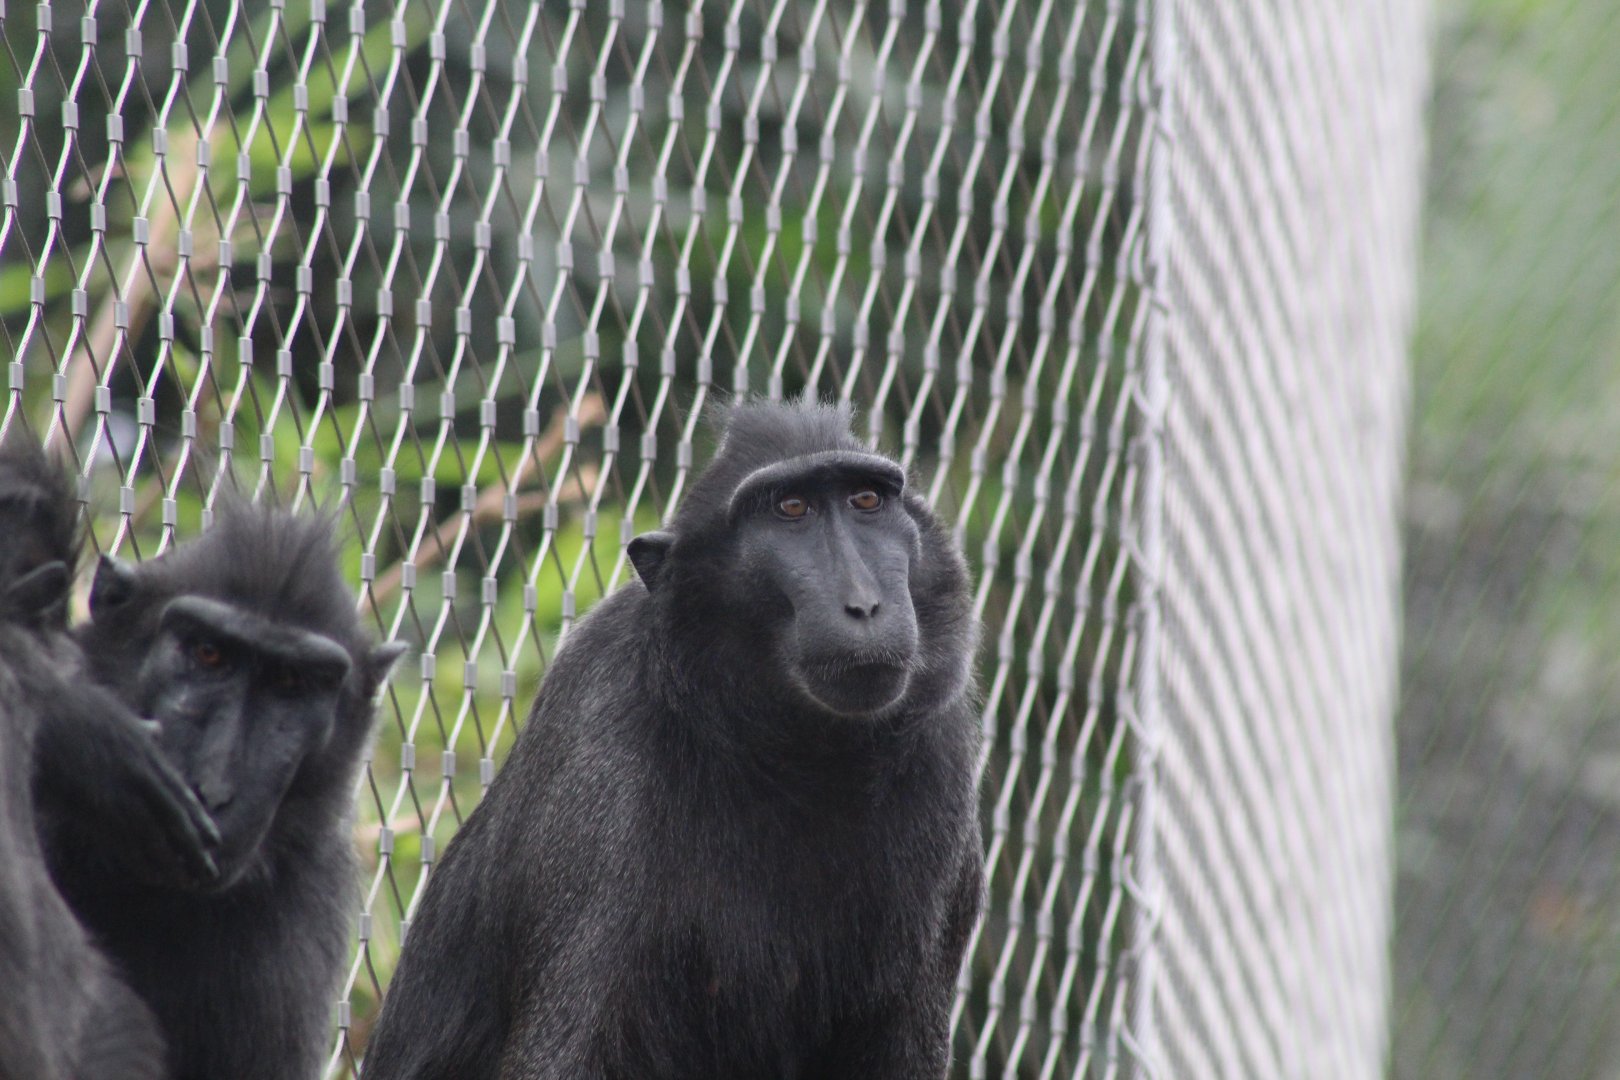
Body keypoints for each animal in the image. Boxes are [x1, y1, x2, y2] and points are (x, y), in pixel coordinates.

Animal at [363, 400, 984, 1080]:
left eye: (866, 501)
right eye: (791, 510)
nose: (865, 605)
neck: (792, 757)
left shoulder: (942, 756)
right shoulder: (606, 748)